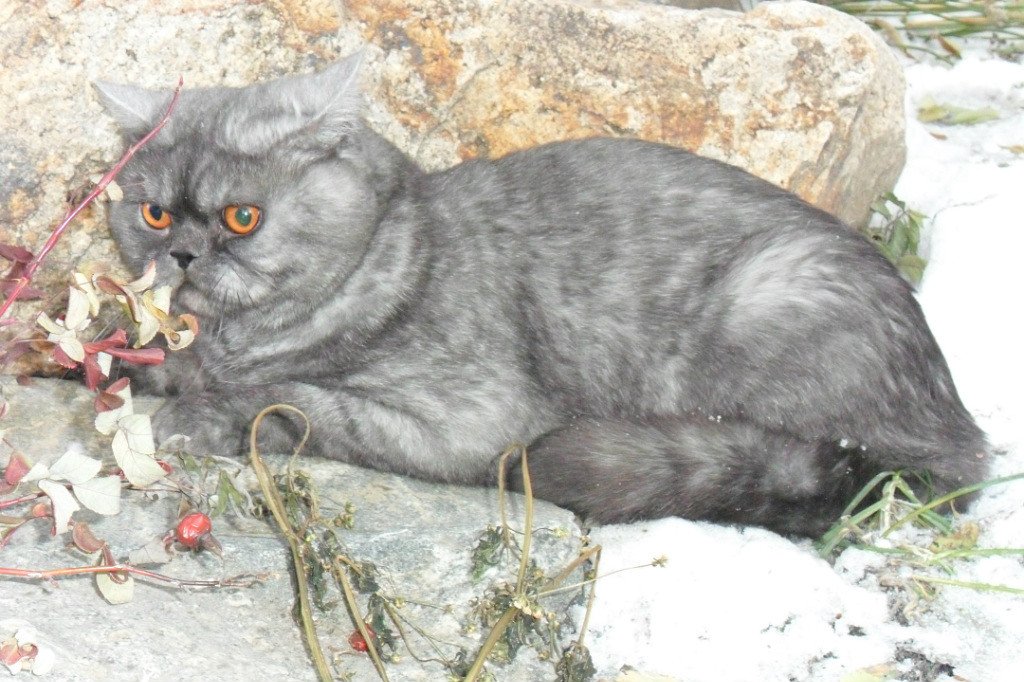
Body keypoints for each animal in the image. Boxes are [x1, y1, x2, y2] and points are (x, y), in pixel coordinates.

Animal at [96, 52, 988, 536]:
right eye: (153, 212)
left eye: (242, 218)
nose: (180, 254)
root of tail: (960, 428)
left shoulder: (470, 420)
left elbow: (292, 400)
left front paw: (195, 414)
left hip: (769, 309)